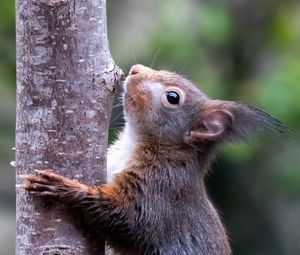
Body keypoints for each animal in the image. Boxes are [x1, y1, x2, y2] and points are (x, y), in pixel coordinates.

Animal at [19, 64, 288, 255]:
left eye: (173, 97)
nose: (135, 69)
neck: (136, 142)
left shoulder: (161, 186)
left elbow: (127, 220)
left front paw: (61, 187)